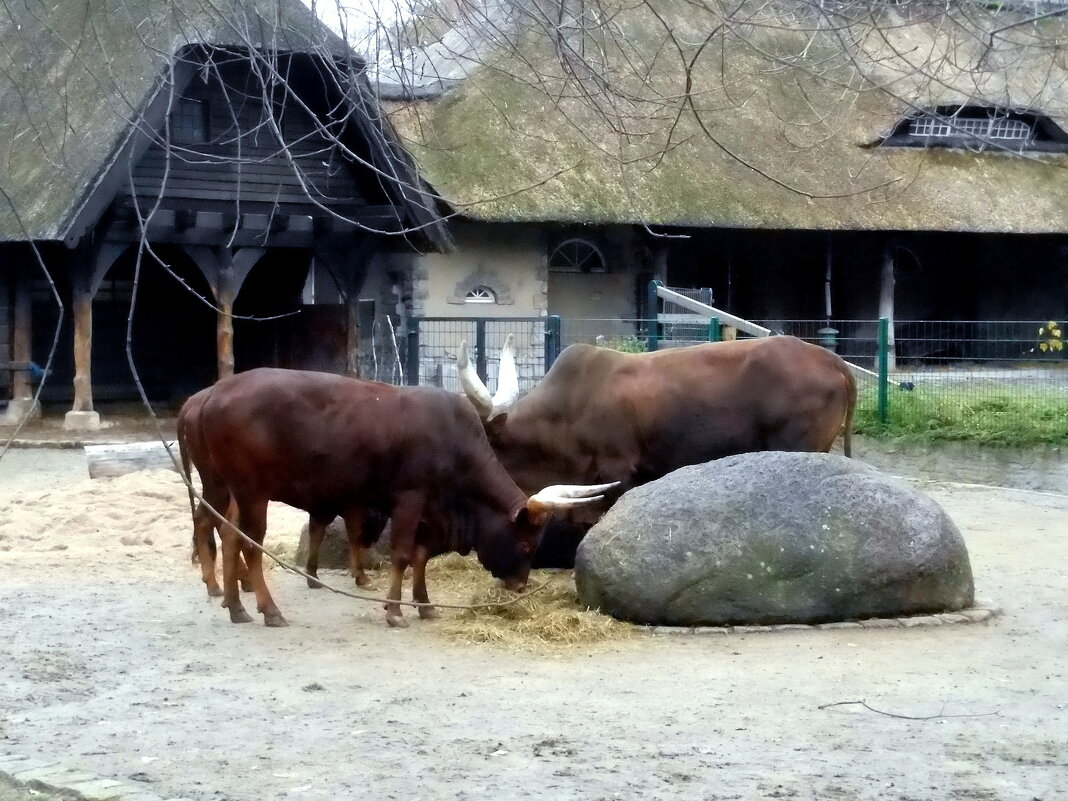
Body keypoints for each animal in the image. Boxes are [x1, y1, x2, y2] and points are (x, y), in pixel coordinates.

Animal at [180, 369, 615, 627]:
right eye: (526, 544)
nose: (520, 587)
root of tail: (213, 394)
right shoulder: (411, 497)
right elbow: (404, 553)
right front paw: (394, 611)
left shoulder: (431, 510)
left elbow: (420, 555)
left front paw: (423, 603)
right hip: (251, 492)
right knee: (248, 544)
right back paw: (268, 610)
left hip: (224, 489)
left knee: (227, 535)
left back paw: (236, 606)